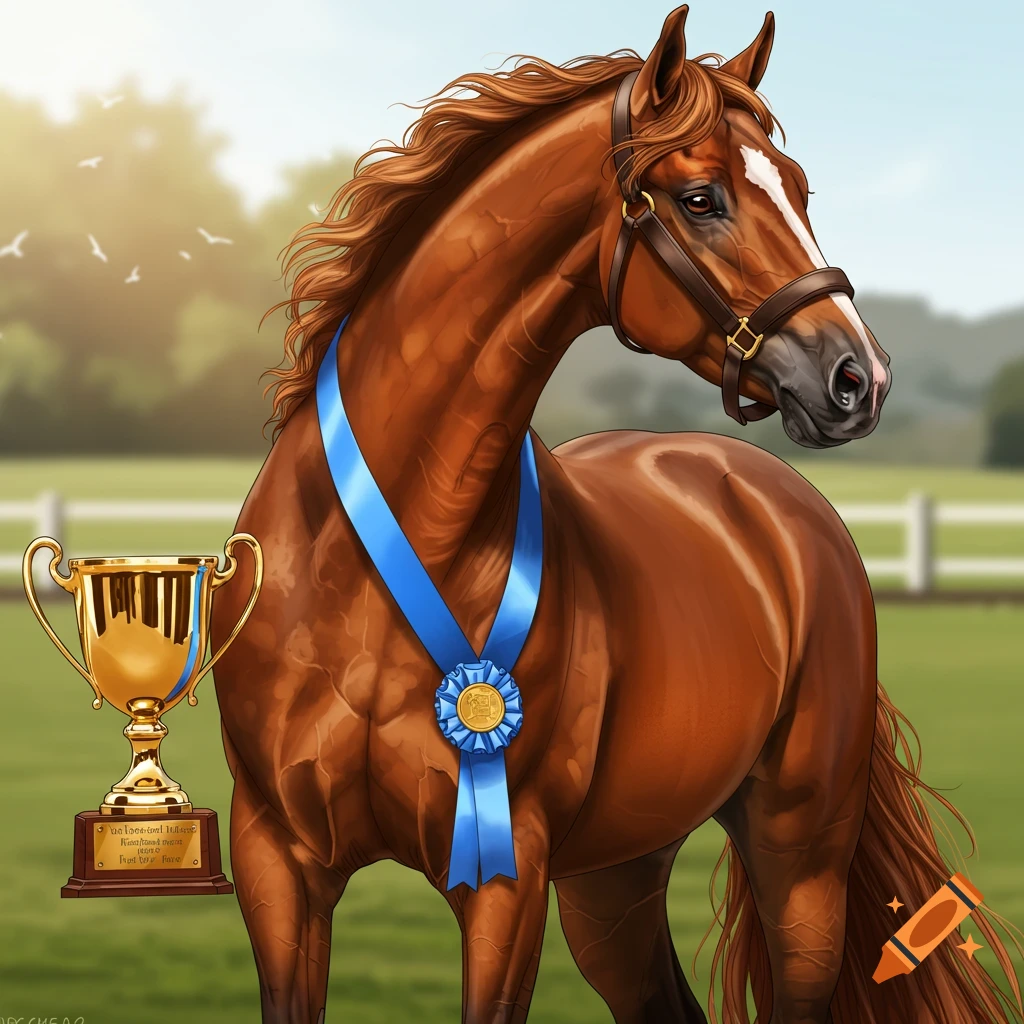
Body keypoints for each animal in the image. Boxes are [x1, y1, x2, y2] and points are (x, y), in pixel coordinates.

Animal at [210, 7, 1023, 1022]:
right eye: (702, 198)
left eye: (799, 188)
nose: (857, 378)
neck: (374, 564)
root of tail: (786, 506)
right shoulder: (279, 864)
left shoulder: (508, 878)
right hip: (616, 874)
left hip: (799, 857)